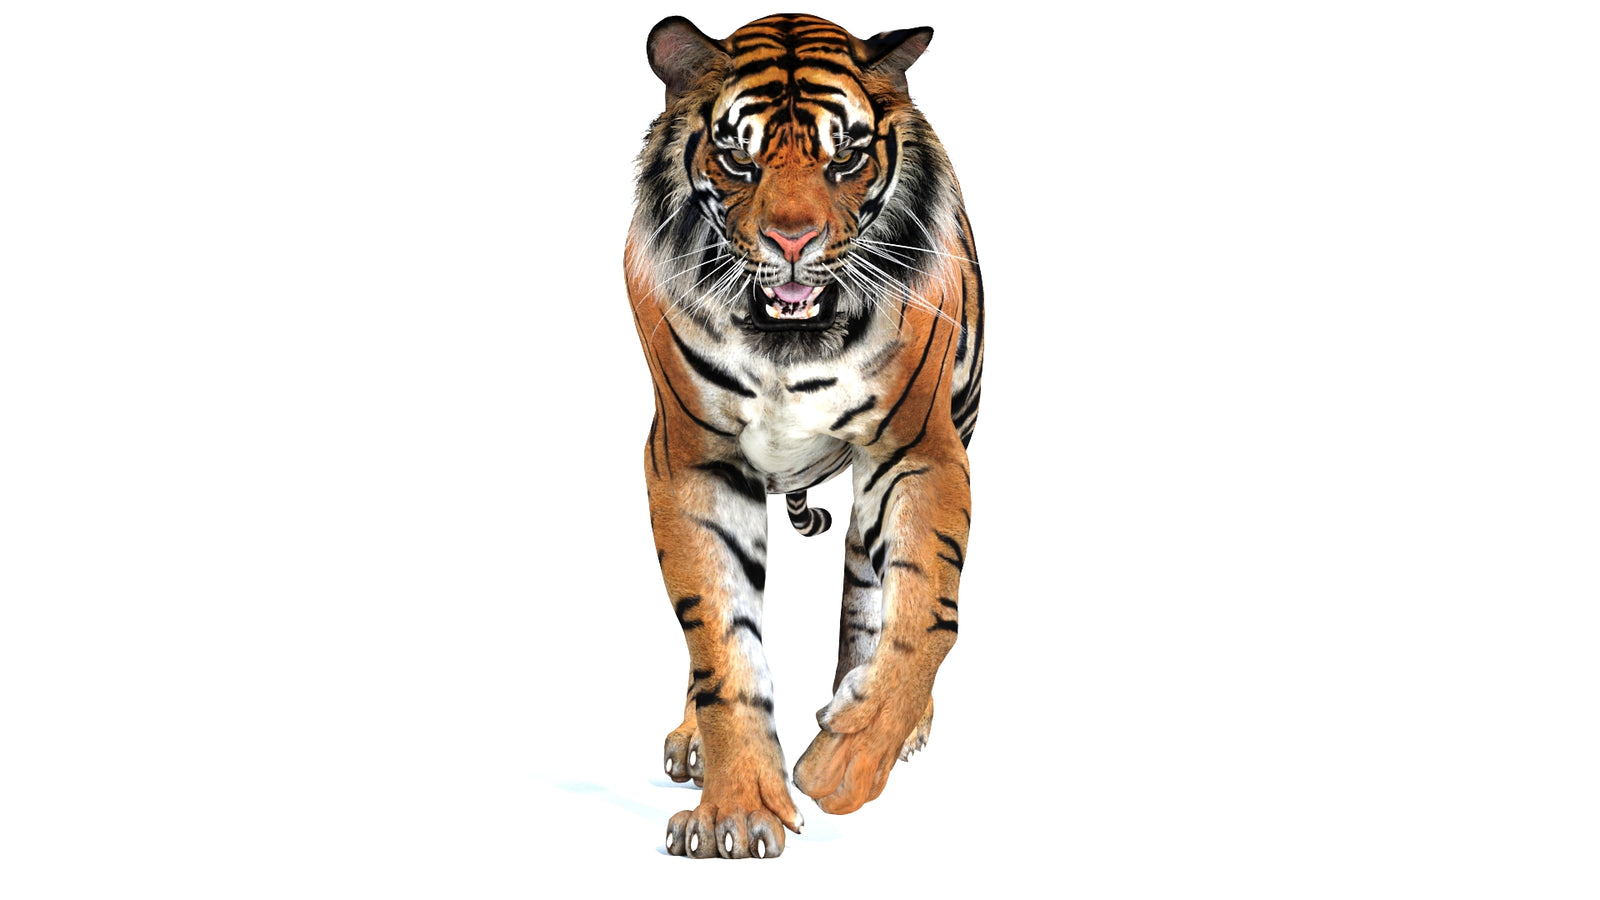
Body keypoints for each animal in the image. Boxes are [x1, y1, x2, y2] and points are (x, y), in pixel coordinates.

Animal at [624, 13, 984, 859]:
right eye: (738, 158)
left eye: (844, 158)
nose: (793, 242)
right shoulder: (692, 461)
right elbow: (721, 643)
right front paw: (736, 812)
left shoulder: (920, 451)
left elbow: (926, 617)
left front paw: (844, 763)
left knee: (869, 596)